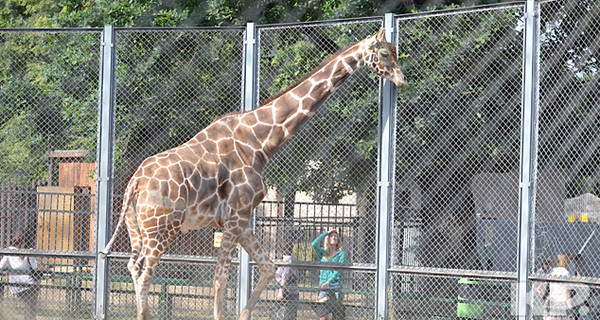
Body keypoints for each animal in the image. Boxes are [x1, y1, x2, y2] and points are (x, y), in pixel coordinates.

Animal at [101, 28, 408, 320]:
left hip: (135, 226)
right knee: (145, 274)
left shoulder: (241, 218)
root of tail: (135, 182)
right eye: (384, 54)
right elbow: (221, 278)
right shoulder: (235, 215)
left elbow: (268, 267)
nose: (403, 80)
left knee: (133, 266)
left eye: (395, 52)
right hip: (162, 228)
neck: (260, 142)